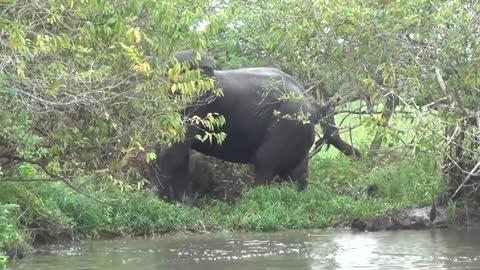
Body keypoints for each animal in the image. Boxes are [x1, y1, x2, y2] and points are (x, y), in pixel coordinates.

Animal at [152, 49, 358, 201]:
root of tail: (311, 100)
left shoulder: (197, 102)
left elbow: (174, 149)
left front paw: (153, 199)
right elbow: (180, 153)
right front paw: (183, 204)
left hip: (288, 123)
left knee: (264, 161)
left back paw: (254, 199)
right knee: (297, 171)